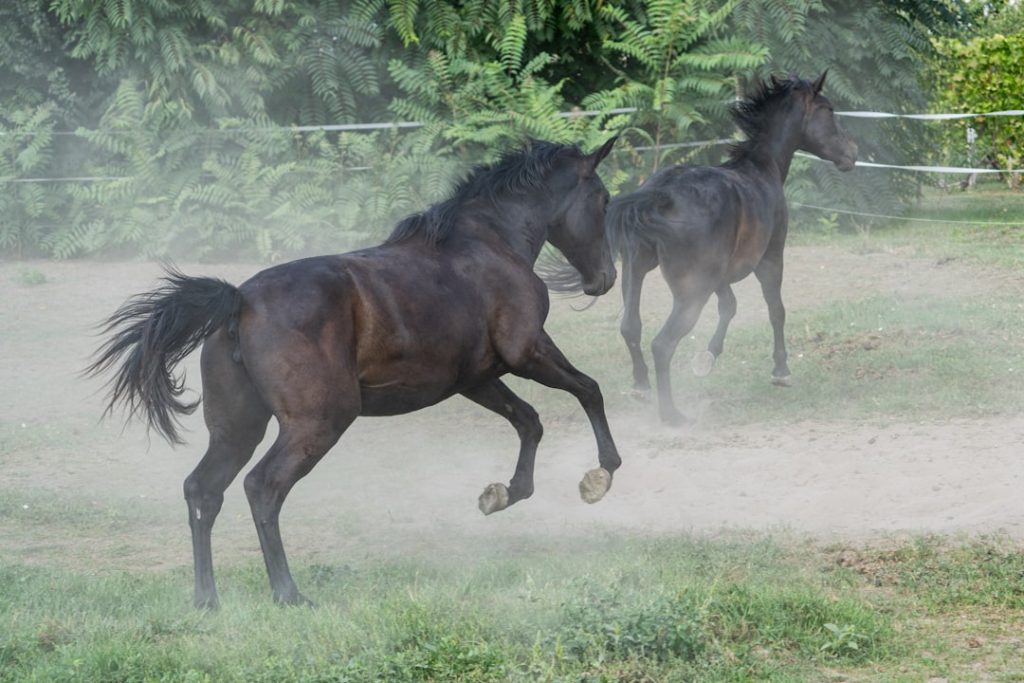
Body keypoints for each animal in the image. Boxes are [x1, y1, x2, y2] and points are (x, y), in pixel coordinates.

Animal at [87, 138, 622, 608]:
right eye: (603, 199)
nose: (605, 279)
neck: (490, 242)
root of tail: (239, 301)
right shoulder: (528, 350)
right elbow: (589, 390)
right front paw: (601, 474)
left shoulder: (475, 379)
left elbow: (529, 421)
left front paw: (503, 494)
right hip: (317, 423)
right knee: (263, 488)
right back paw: (288, 594)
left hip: (237, 428)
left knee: (203, 490)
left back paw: (206, 599)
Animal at [606, 72, 856, 425]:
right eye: (829, 110)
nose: (852, 152)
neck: (760, 168)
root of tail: (659, 196)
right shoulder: (770, 259)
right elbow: (776, 310)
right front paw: (781, 371)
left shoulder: (721, 277)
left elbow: (730, 307)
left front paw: (705, 360)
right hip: (692, 292)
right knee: (663, 344)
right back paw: (672, 415)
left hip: (635, 269)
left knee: (630, 326)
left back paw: (641, 388)